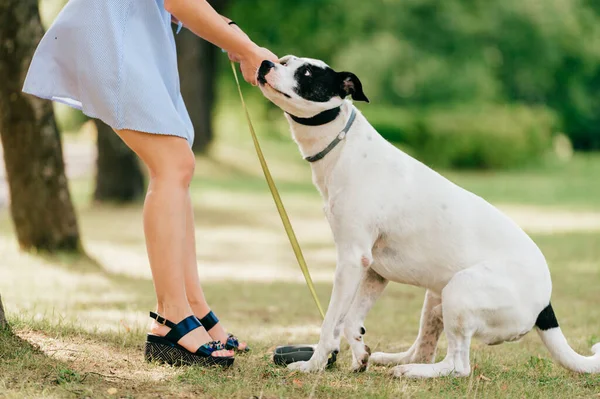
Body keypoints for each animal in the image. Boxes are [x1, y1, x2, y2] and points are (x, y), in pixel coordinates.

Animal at [255, 55, 596, 378]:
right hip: (436, 297)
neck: (342, 143)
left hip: (459, 292)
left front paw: (312, 365)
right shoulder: (373, 270)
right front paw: (359, 353)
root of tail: (545, 304)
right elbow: (350, 319)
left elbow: (330, 324)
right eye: (285, 61)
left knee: (458, 365)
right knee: (425, 348)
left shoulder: (351, 260)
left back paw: (412, 371)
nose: (265, 63)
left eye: (307, 73)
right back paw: (393, 360)